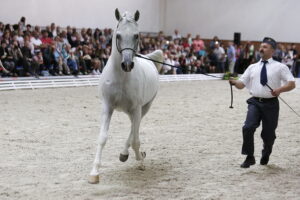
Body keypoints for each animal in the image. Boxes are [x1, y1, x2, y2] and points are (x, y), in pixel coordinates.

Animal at [88, 9, 164, 184]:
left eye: (136, 35)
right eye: (118, 35)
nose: (127, 64)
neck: (121, 77)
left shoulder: (136, 108)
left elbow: (136, 140)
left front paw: (140, 162)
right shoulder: (107, 107)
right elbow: (102, 138)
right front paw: (94, 173)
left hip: (144, 108)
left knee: (134, 130)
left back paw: (129, 154)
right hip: (132, 111)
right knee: (132, 127)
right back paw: (125, 154)